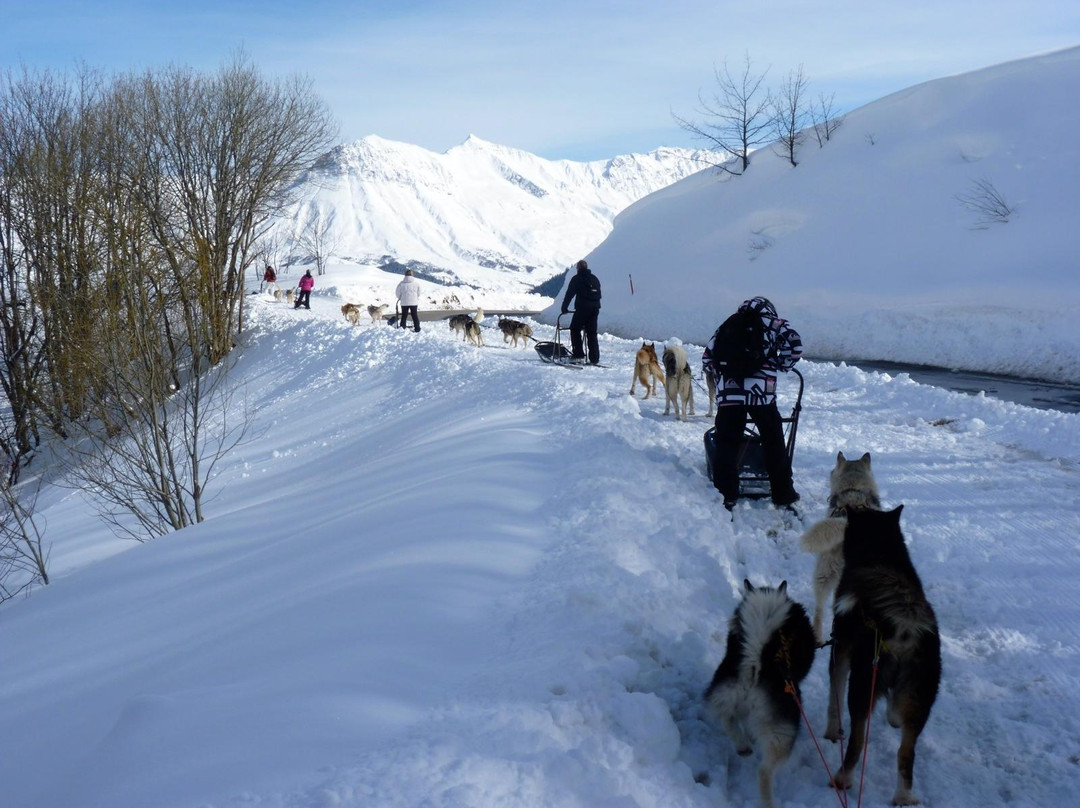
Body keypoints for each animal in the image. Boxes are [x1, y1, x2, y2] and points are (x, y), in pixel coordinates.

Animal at [704, 578, 812, 808]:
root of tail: (754, 665)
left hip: (724, 693)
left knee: (726, 718)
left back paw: (743, 745)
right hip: (781, 734)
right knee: (764, 771)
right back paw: (768, 802)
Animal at [825, 507, 937, 803]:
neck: (880, 555)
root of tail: (904, 631)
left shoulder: (839, 650)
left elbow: (834, 698)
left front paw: (831, 733)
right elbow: (895, 710)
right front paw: (893, 717)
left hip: (862, 687)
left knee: (857, 741)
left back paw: (841, 779)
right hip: (921, 700)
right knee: (906, 753)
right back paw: (903, 797)